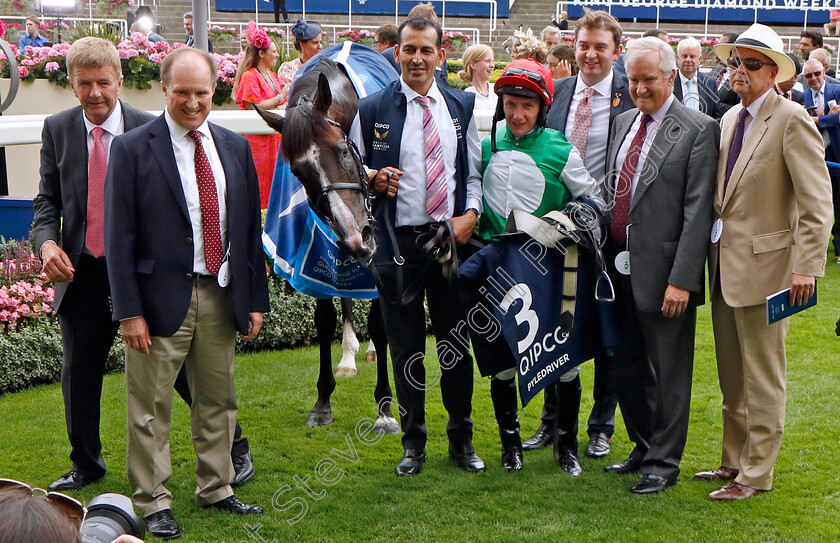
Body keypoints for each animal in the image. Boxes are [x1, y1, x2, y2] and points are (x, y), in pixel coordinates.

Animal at [256, 49, 400, 436]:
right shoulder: (317, 247)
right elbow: (324, 317)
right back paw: (349, 355)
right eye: (298, 172)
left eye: (344, 151)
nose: (355, 237)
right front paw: (322, 402)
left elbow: (380, 322)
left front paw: (384, 408)